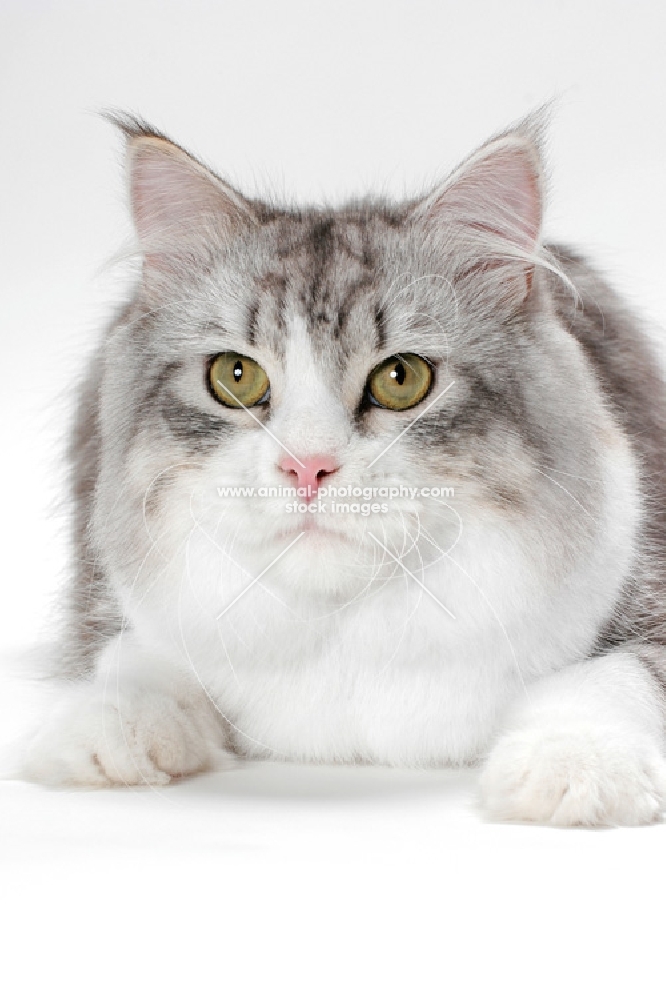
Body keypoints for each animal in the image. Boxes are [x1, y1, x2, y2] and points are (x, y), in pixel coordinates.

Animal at [23, 111, 664, 828]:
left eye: (401, 378)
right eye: (236, 376)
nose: (308, 468)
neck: (343, 637)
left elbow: (611, 677)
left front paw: (576, 764)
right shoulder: (116, 603)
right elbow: (131, 663)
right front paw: (103, 731)